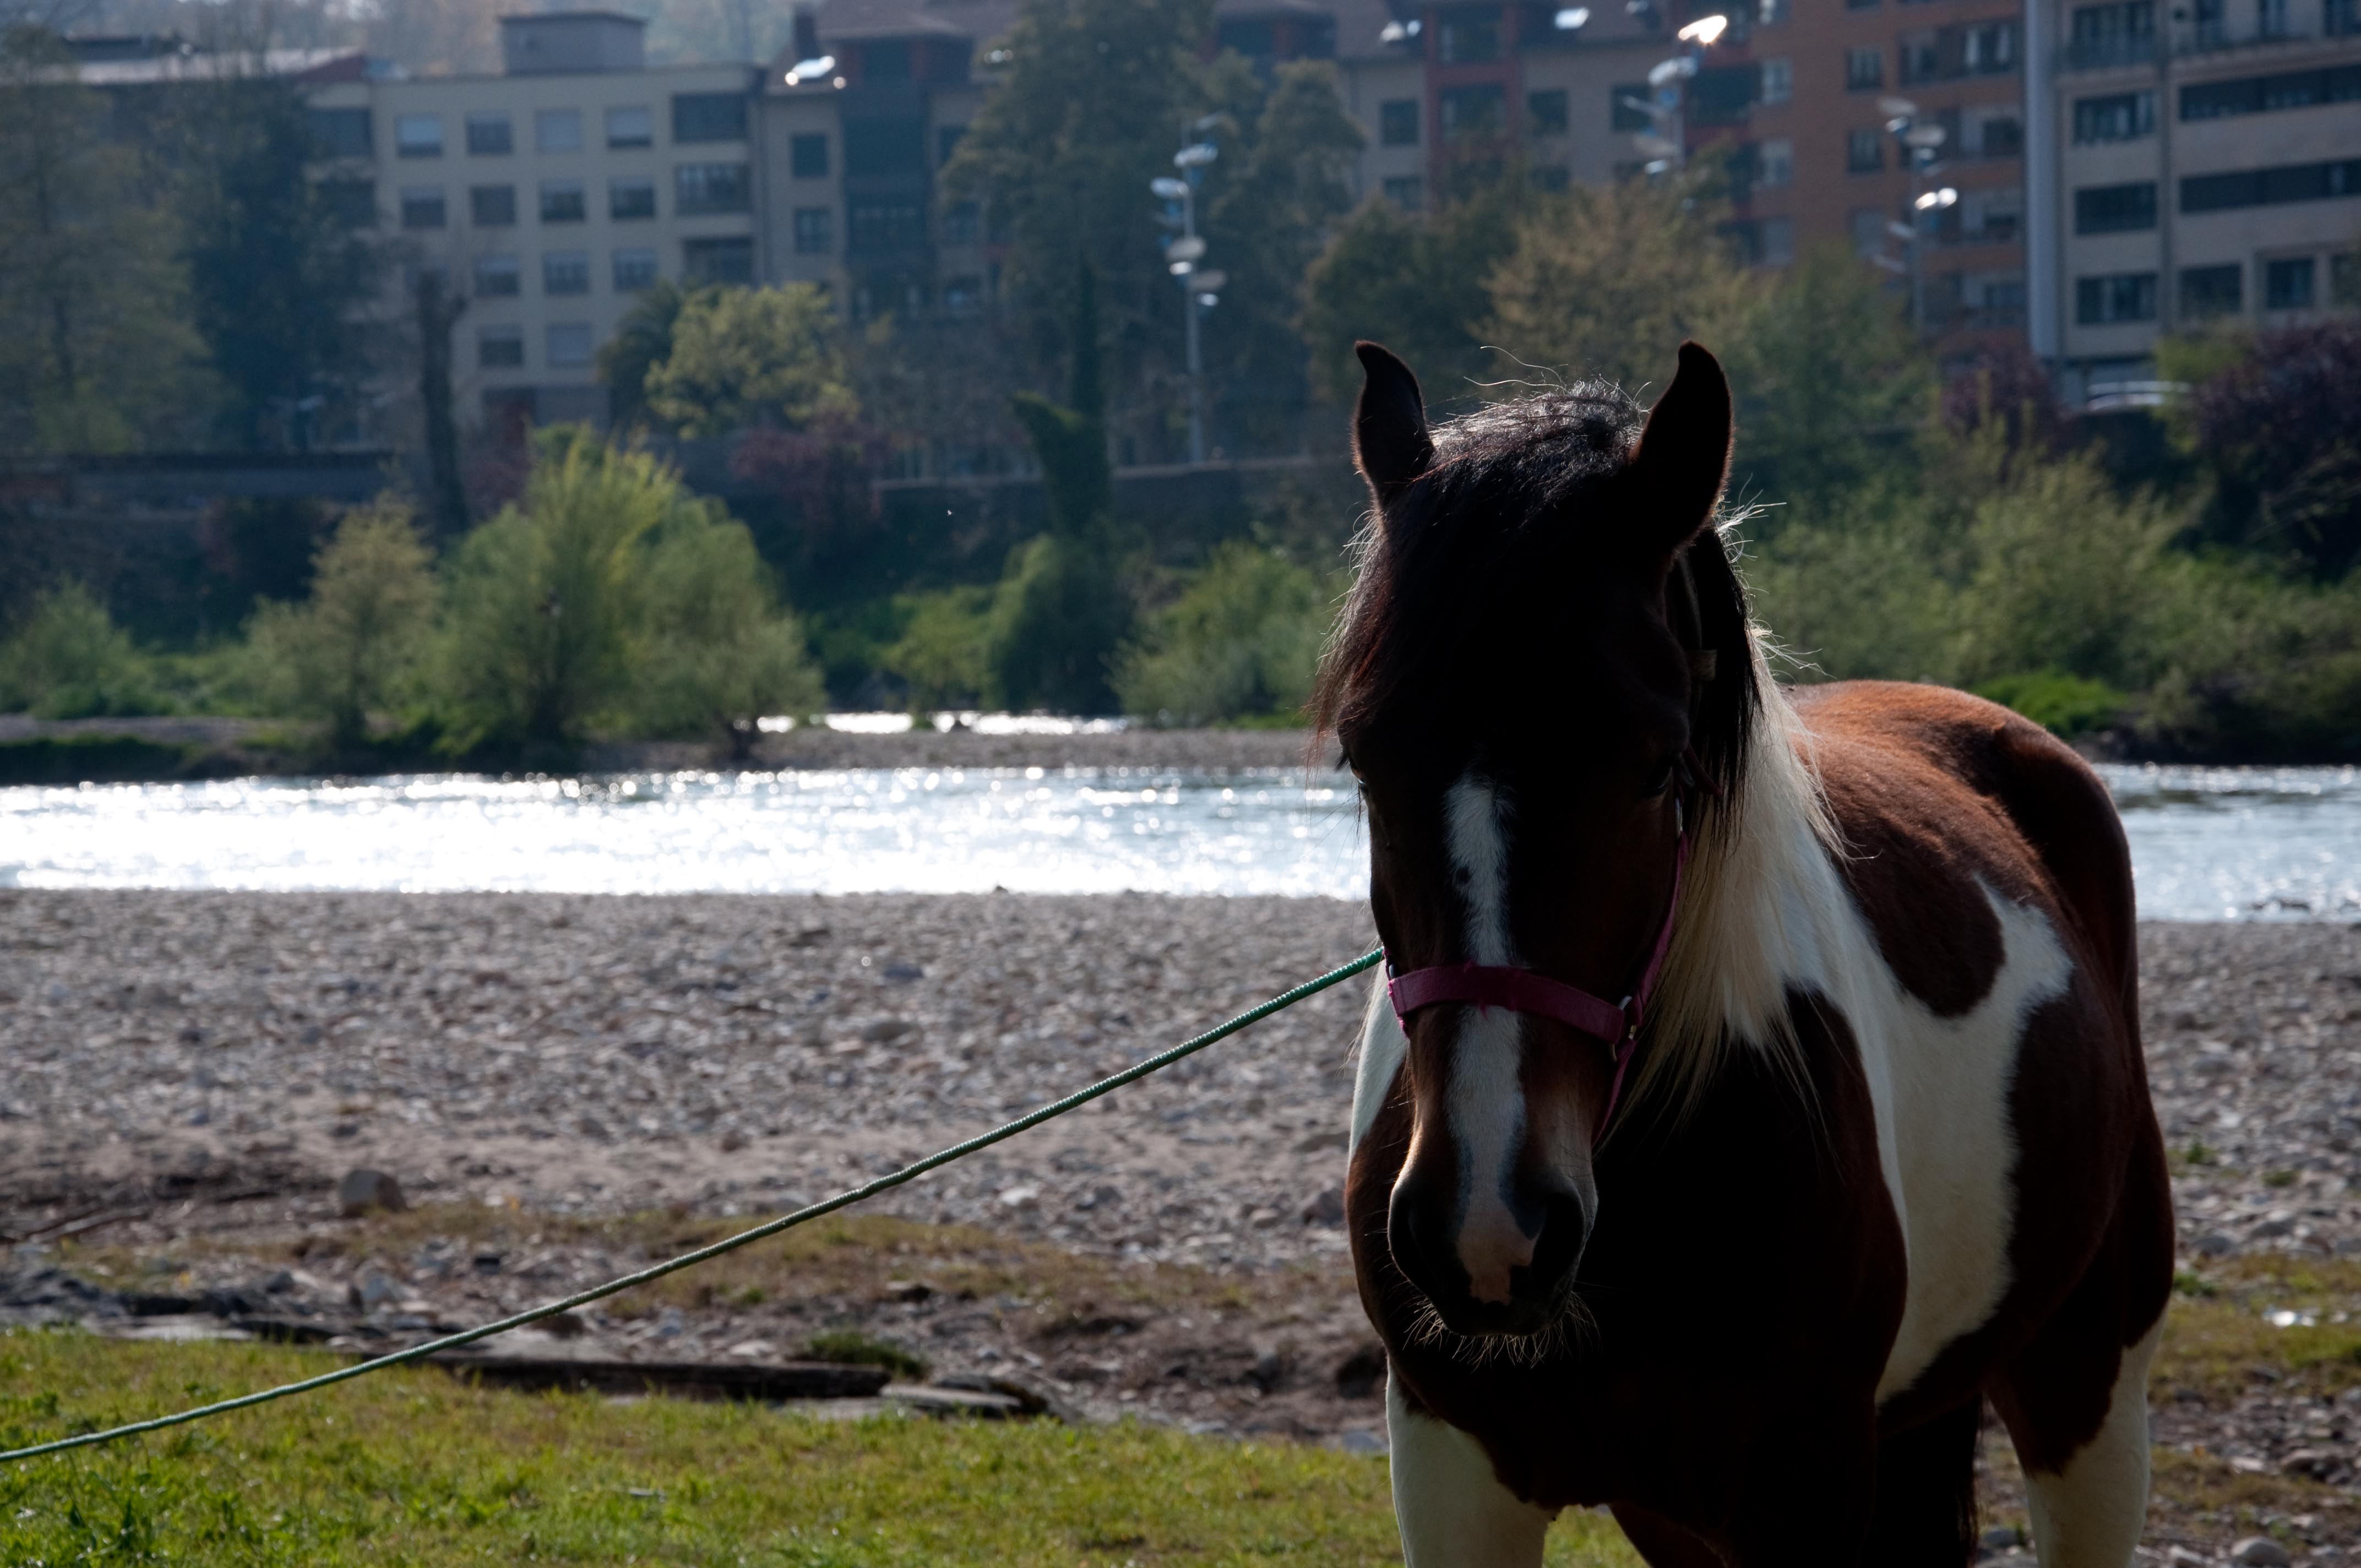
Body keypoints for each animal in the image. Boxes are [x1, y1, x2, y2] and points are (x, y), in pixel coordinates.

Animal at [1322, 340, 2162, 1567]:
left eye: (1655, 761)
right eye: (1363, 756)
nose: (1487, 1223)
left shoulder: (1802, 1485)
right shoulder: (1451, 1468)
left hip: (2084, 1379)